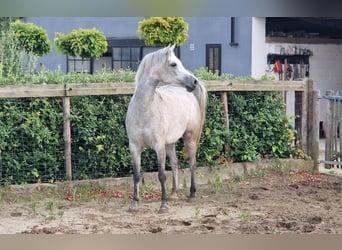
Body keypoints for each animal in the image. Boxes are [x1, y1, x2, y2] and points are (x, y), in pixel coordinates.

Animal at [125, 45, 207, 213]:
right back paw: (173, 193)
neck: (144, 109)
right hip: (170, 143)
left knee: (192, 164)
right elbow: (136, 175)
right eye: (173, 64)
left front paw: (162, 205)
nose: (194, 81)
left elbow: (161, 175)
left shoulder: (159, 147)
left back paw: (192, 193)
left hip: (189, 139)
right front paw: (134, 203)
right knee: (175, 163)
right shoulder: (134, 146)